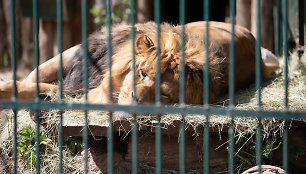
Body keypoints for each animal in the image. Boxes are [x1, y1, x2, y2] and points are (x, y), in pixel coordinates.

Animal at [0, 20, 278, 104]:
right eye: (143, 73)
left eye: (165, 96)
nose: (136, 99)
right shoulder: (72, 56)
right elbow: (31, 77)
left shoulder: (78, 89)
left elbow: (33, 87)